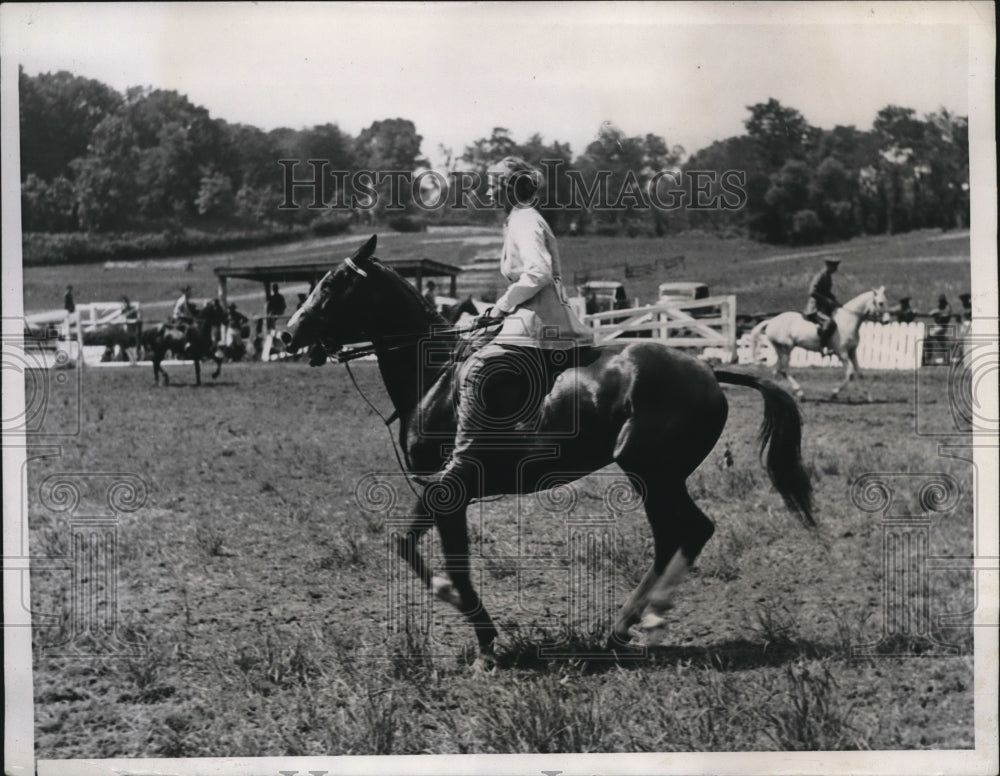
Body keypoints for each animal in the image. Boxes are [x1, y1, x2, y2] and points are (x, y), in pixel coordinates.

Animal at [282, 238, 812, 668]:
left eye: (331, 284)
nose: (287, 335)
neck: (433, 377)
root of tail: (708, 372)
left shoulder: (447, 488)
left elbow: (416, 549)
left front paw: (468, 621)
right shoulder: (453, 498)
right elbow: (447, 554)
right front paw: (483, 637)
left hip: (652, 473)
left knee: (687, 531)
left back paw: (645, 621)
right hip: (656, 476)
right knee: (676, 536)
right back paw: (625, 628)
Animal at [752, 288, 892, 404]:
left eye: (885, 302)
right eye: (880, 303)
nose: (887, 321)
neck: (849, 320)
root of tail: (771, 321)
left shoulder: (852, 351)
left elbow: (859, 373)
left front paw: (868, 397)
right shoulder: (842, 353)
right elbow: (850, 373)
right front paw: (834, 394)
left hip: (781, 350)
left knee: (777, 370)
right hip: (786, 348)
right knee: (783, 370)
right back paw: (800, 393)